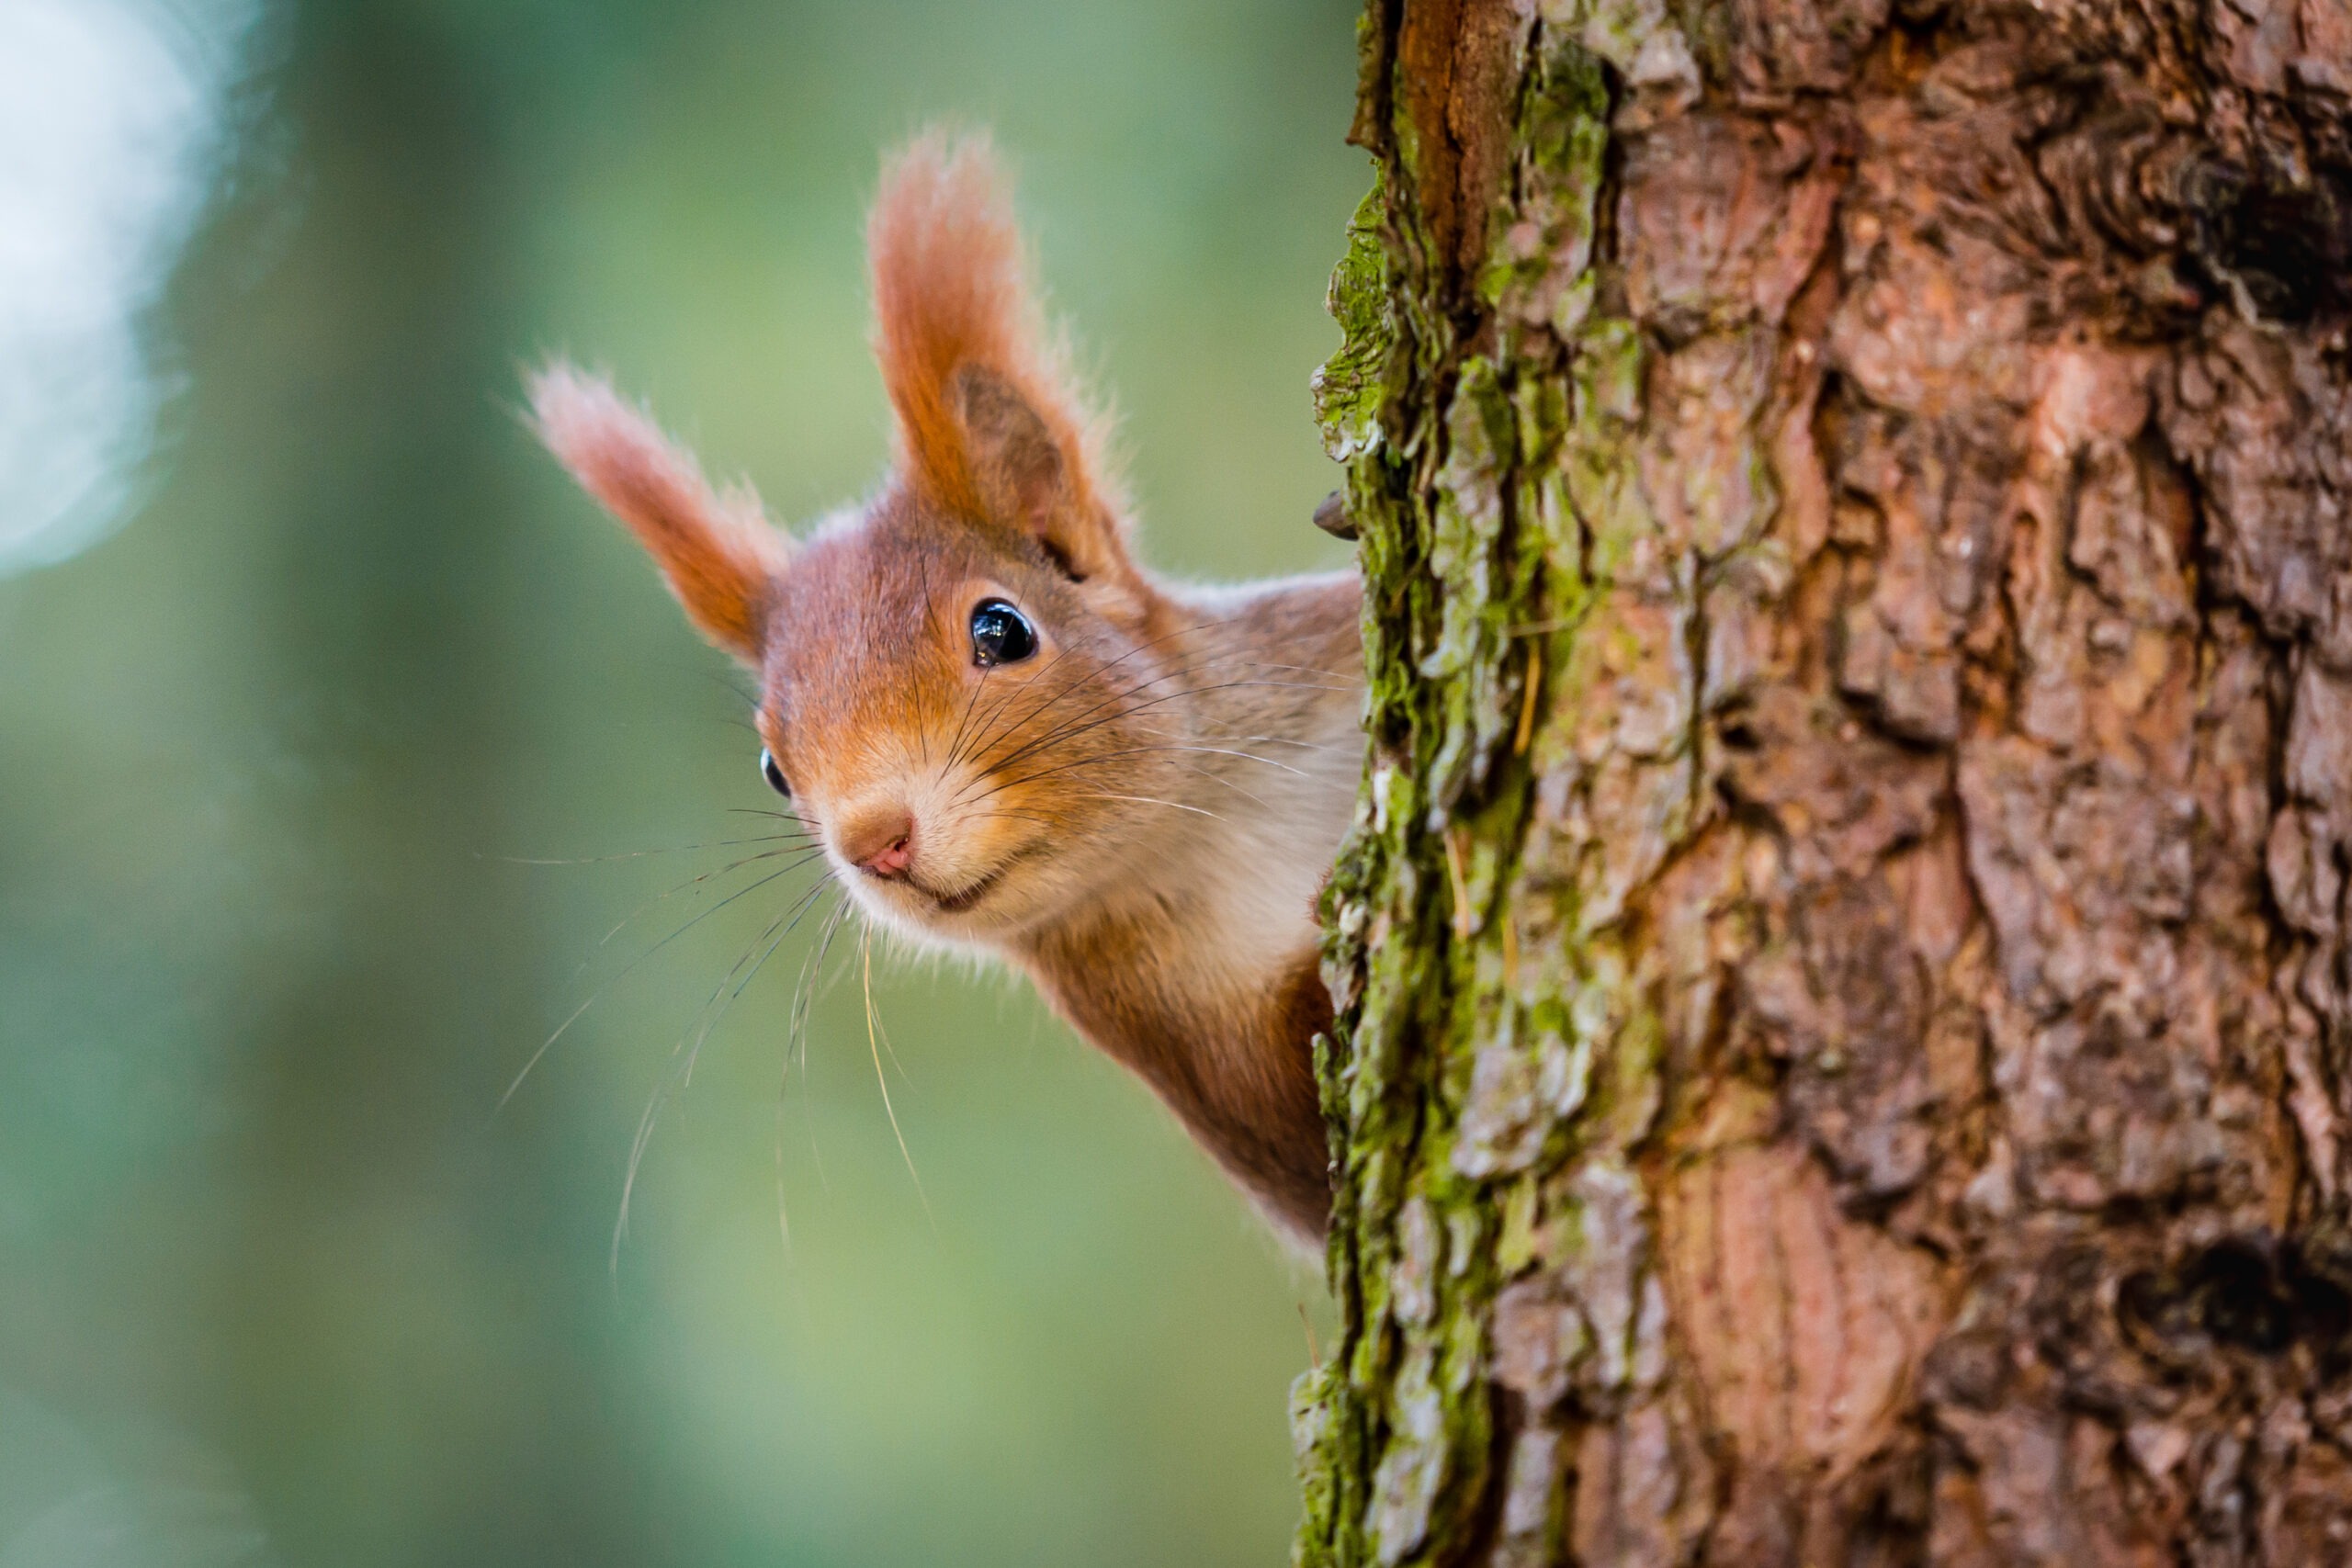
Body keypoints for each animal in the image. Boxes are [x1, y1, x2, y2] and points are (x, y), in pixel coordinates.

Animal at [514, 131, 1363, 1241]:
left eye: (1002, 629)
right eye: (773, 768)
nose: (875, 840)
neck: (1213, 828)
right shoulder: (1202, 1058)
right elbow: (1310, 1139)